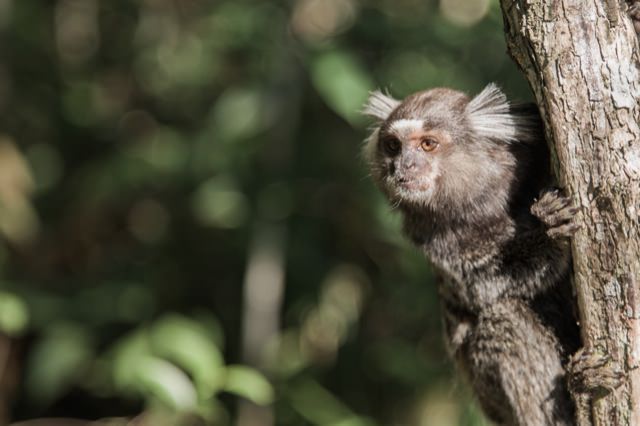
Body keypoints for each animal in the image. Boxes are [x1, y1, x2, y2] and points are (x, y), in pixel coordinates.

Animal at [362, 85, 584, 424]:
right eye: (393, 146)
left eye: (428, 144)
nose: (402, 167)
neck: (486, 203)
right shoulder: (437, 239)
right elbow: (486, 285)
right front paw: (549, 231)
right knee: (504, 317)